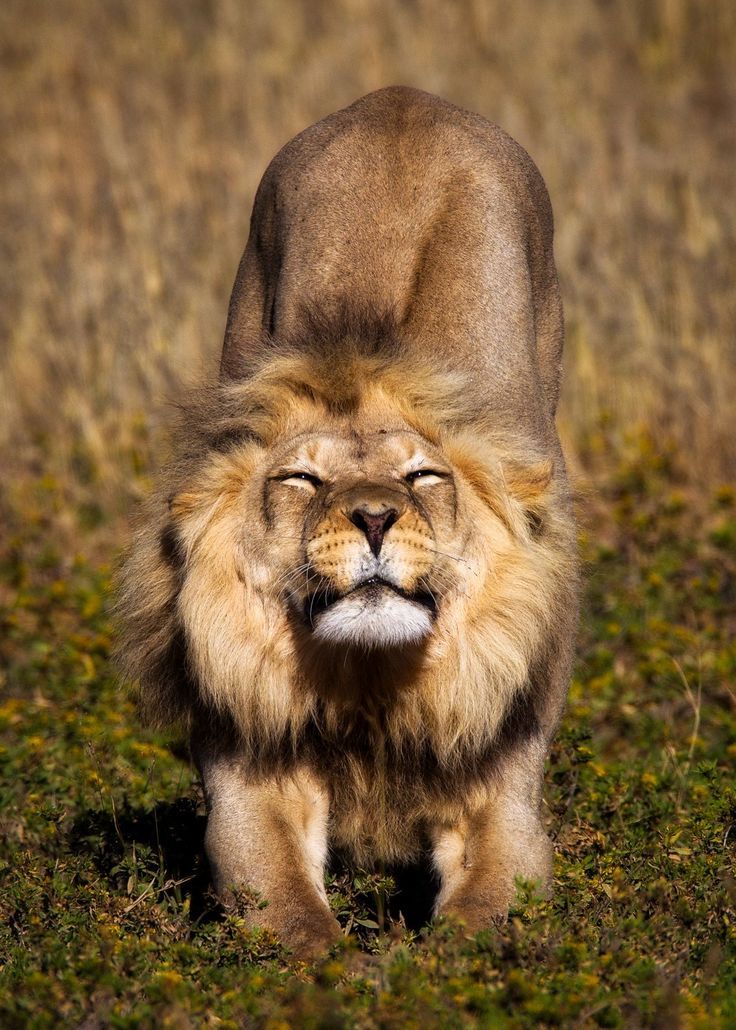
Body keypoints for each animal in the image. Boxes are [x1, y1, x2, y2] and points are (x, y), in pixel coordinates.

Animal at [118, 86, 579, 958]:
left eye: (422, 476)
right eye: (302, 479)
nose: (372, 517)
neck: (370, 684)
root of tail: (401, 97)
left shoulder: (508, 809)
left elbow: (471, 935)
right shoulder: (246, 794)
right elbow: (302, 931)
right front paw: (359, 972)